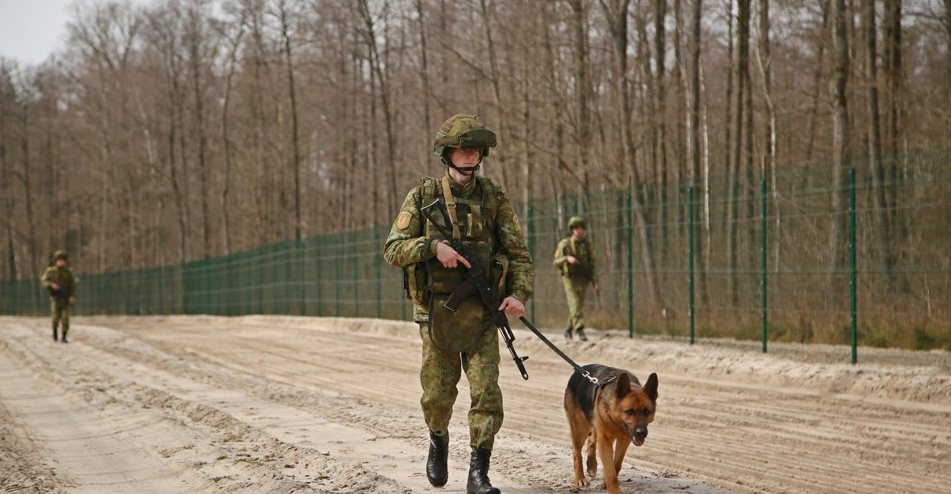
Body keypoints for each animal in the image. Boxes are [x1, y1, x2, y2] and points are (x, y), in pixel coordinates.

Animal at [560, 362, 660, 494]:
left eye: (646, 412)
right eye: (629, 411)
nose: (641, 433)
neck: (616, 420)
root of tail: (580, 369)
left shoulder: (624, 440)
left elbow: (616, 464)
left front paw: (606, 484)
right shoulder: (605, 442)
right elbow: (609, 469)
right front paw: (614, 490)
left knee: (592, 438)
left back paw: (592, 465)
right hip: (579, 430)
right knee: (577, 453)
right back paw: (580, 477)